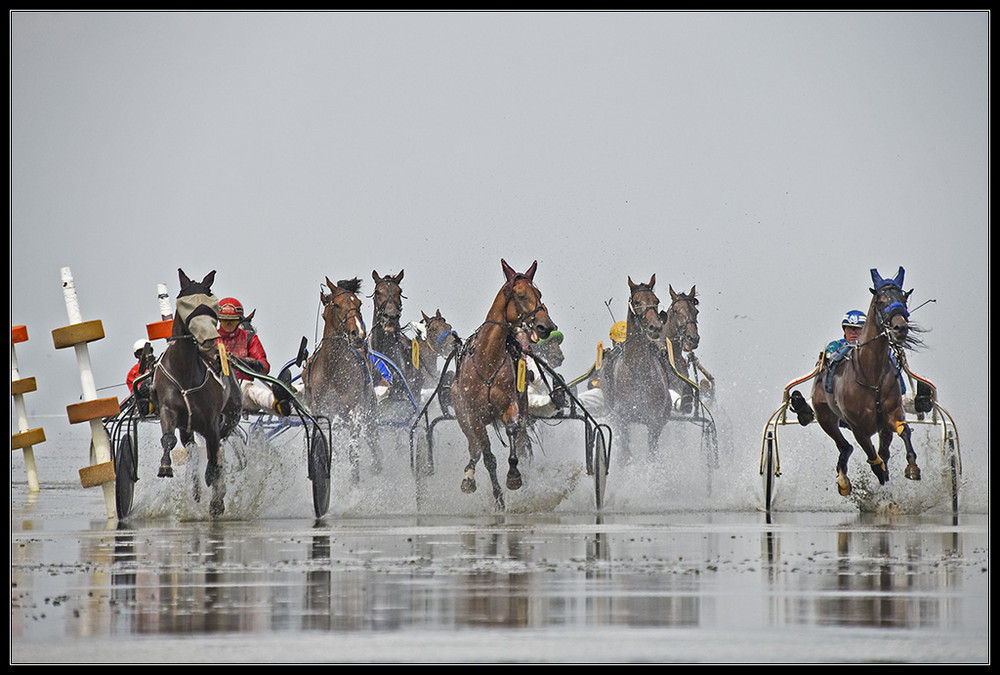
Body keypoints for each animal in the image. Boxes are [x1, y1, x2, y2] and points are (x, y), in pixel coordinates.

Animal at [154, 270, 244, 516]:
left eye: (211, 303)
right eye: (187, 304)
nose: (211, 340)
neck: (185, 372)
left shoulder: (212, 421)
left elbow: (214, 458)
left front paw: (215, 490)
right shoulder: (168, 409)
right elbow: (168, 439)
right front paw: (165, 466)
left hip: (230, 415)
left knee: (217, 450)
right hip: (189, 428)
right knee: (192, 447)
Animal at [298, 278, 380, 484]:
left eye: (358, 303)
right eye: (336, 305)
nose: (358, 334)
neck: (333, 371)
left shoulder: (356, 409)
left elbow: (353, 450)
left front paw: (355, 481)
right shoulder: (321, 411)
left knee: (372, 436)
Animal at [452, 258, 560, 508]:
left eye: (539, 293)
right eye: (520, 295)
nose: (547, 326)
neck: (487, 361)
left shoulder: (511, 404)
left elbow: (513, 433)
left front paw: (514, 475)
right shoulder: (474, 415)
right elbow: (488, 456)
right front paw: (499, 498)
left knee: (521, 441)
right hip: (460, 411)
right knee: (474, 448)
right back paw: (468, 477)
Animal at [600, 274, 672, 460]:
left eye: (656, 300)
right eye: (637, 301)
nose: (655, 327)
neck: (639, 371)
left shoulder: (655, 421)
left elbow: (652, 455)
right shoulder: (621, 418)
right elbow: (624, 453)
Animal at [812, 266, 920, 500]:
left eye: (904, 299)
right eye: (880, 300)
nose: (899, 327)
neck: (872, 376)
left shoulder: (891, 416)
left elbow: (904, 432)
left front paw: (912, 467)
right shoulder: (859, 428)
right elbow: (875, 462)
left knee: (877, 451)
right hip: (825, 417)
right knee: (845, 447)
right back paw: (843, 480)